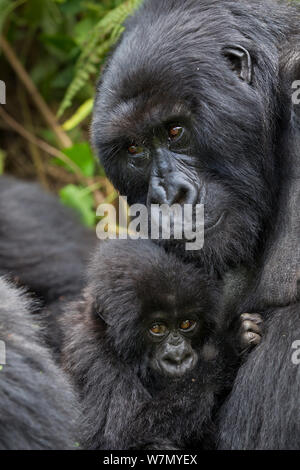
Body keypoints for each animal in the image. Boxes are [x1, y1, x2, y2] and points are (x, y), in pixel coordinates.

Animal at [61, 241, 262, 450]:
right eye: (156, 328)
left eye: (186, 323)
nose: (178, 356)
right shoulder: (95, 359)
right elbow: (124, 432)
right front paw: (226, 350)